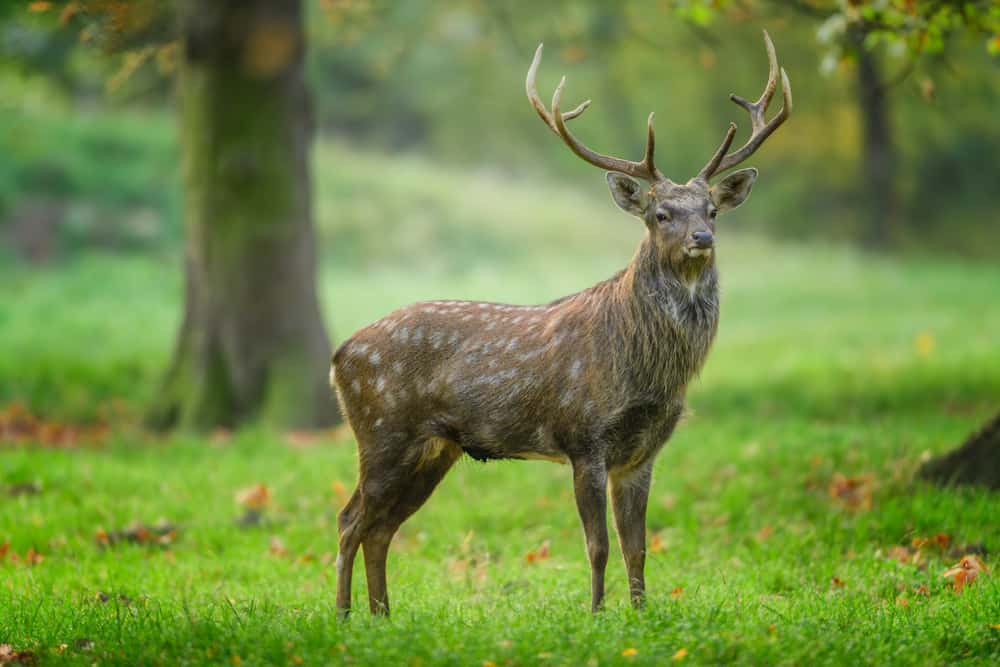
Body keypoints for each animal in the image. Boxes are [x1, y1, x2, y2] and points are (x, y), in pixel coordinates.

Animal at [332, 30, 792, 616]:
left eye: (711, 209)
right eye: (660, 214)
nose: (702, 239)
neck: (646, 369)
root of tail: (340, 354)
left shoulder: (643, 451)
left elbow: (637, 546)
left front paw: (642, 614)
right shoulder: (583, 436)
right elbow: (597, 545)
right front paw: (595, 614)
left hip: (433, 448)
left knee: (381, 528)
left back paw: (382, 616)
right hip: (381, 429)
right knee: (350, 520)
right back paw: (344, 615)